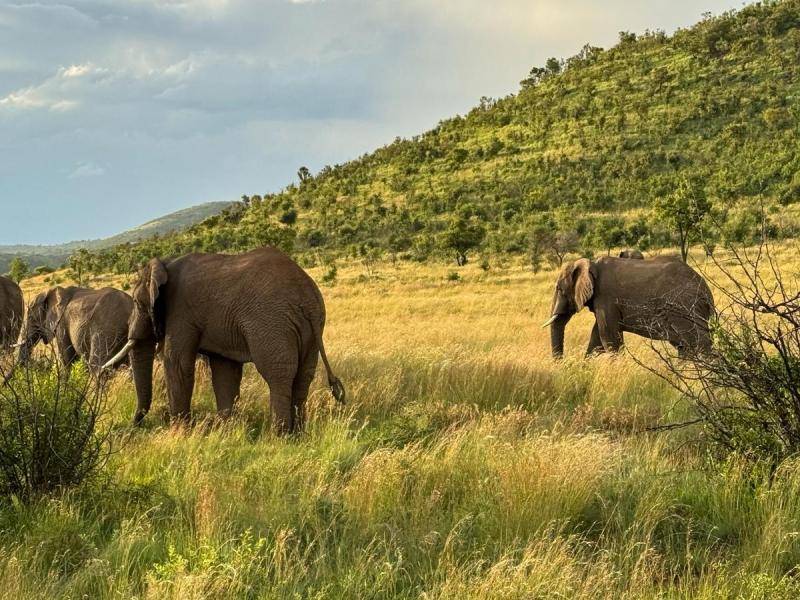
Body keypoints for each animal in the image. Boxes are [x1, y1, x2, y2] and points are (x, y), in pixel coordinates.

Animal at [103, 246, 344, 434]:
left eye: (136, 302)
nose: (133, 425)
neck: (165, 263)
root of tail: (306, 295)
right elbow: (225, 371)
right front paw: (225, 431)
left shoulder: (181, 312)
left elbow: (177, 362)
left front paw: (179, 433)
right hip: (311, 328)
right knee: (303, 375)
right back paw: (298, 436)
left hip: (272, 322)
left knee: (278, 374)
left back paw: (279, 437)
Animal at [544, 256, 712, 358]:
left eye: (559, 289)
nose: (562, 363)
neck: (591, 264)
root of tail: (706, 290)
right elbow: (596, 338)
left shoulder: (606, 298)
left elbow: (608, 338)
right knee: (684, 346)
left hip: (685, 306)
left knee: (699, 342)